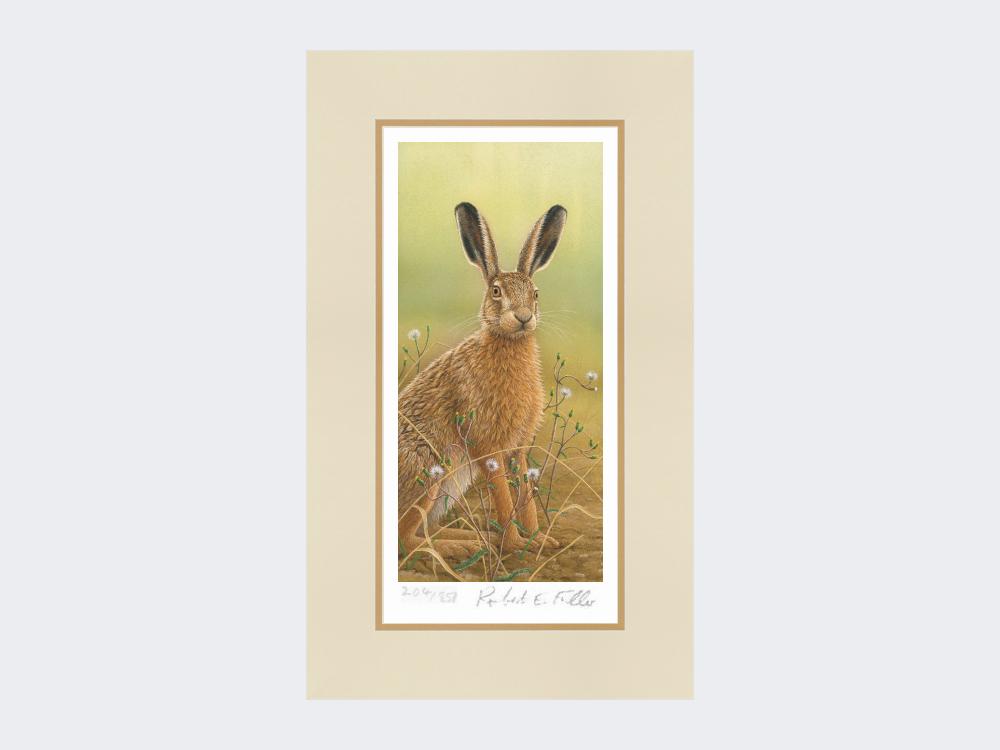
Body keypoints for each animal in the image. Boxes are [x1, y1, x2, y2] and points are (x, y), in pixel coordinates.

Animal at [397, 202, 567, 562]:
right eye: (496, 292)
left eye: (535, 293)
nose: (523, 317)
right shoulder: (487, 445)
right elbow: (502, 496)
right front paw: (516, 545)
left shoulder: (518, 448)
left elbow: (526, 498)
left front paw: (539, 540)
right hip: (428, 473)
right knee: (405, 540)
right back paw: (466, 545)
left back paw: (473, 538)